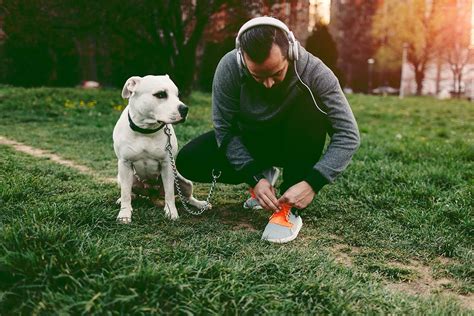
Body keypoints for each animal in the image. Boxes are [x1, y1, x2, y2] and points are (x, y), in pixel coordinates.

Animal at [112, 74, 208, 222]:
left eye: (177, 95)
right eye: (161, 94)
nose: (185, 108)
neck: (146, 130)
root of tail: (152, 193)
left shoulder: (167, 164)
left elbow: (169, 193)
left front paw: (171, 212)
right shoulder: (125, 163)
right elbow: (125, 194)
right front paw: (124, 214)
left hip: (184, 181)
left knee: (186, 197)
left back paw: (201, 204)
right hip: (122, 178)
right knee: (130, 193)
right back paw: (124, 199)